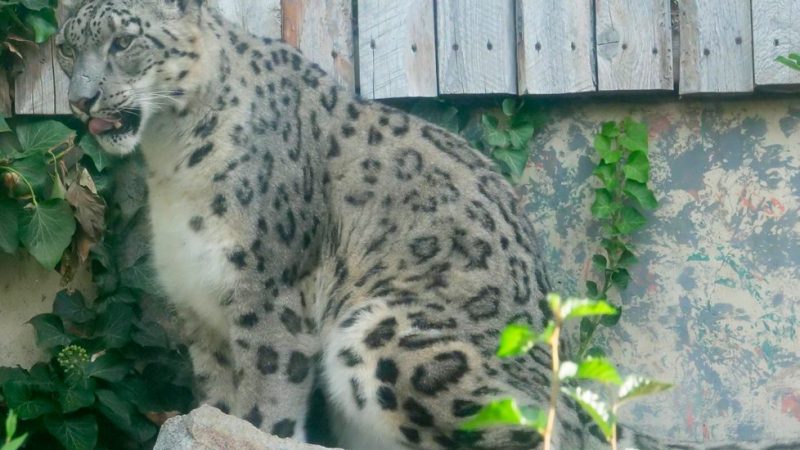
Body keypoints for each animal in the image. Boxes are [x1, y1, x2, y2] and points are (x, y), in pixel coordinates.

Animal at [55, 1, 795, 449]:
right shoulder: (201, 312)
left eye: (124, 41)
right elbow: (218, 404)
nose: (82, 99)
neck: (168, 156)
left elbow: (266, 406)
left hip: (389, 331)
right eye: (67, 48)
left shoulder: (269, 294)